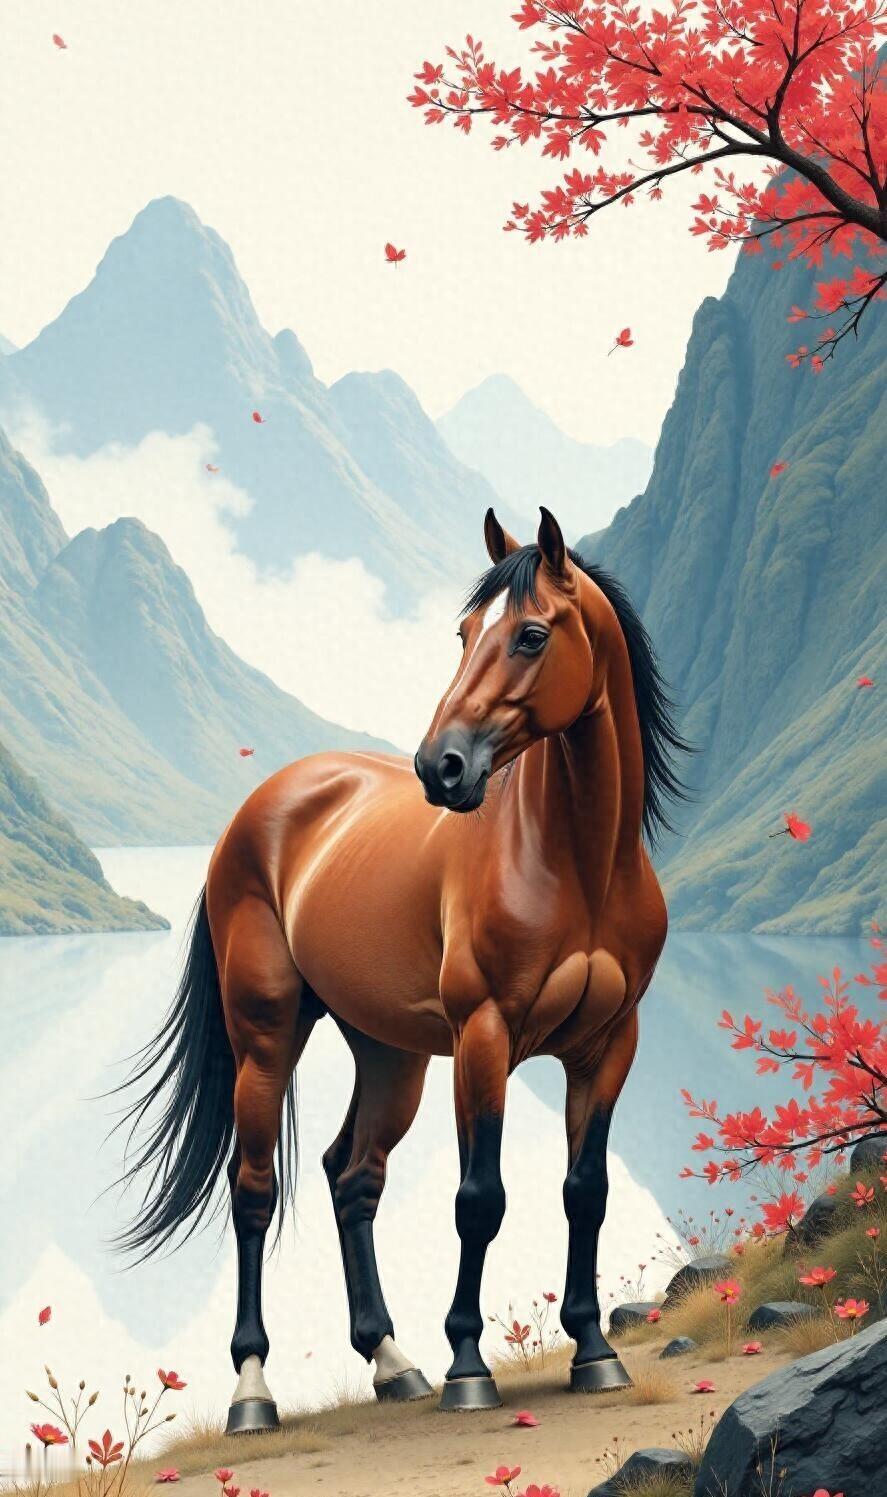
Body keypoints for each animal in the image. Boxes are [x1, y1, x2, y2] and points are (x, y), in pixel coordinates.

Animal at [116, 506, 688, 1432]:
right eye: (463, 633)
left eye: (531, 634)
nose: (439, 766)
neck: (577, 864)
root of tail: (260, 807)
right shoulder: (485, 1039)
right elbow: (479, 1197)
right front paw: (468, 1366)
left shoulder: (607, 1045)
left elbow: (585, 1189)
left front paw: (593, 1350)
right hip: (265, 1041)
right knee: (254, 1188)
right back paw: (253, 1391)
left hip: (391, 1053)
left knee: (352, 1175)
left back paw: (391, 1360)